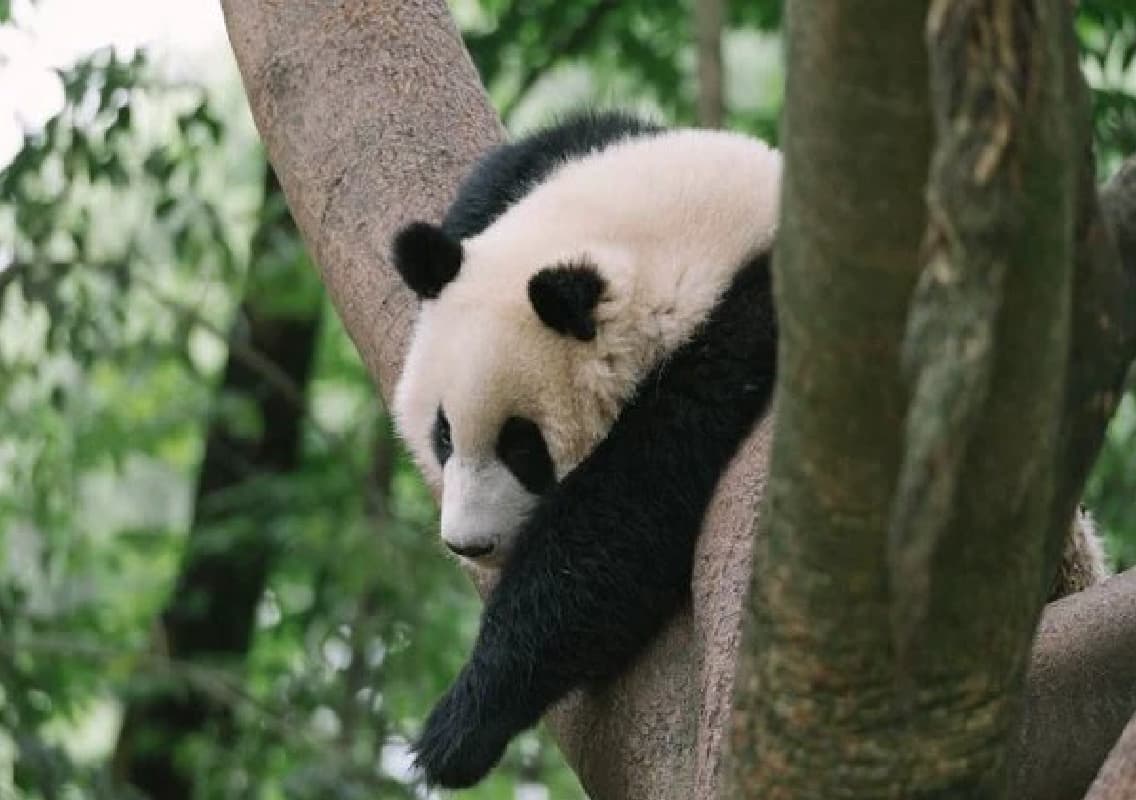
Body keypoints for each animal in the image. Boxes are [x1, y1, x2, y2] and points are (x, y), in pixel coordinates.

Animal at [389, 111, 1108, 789]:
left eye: (523, 447)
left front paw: (461, 726)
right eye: (444, 433)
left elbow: (617, 528)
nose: (468, 543)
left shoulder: (744, 344)